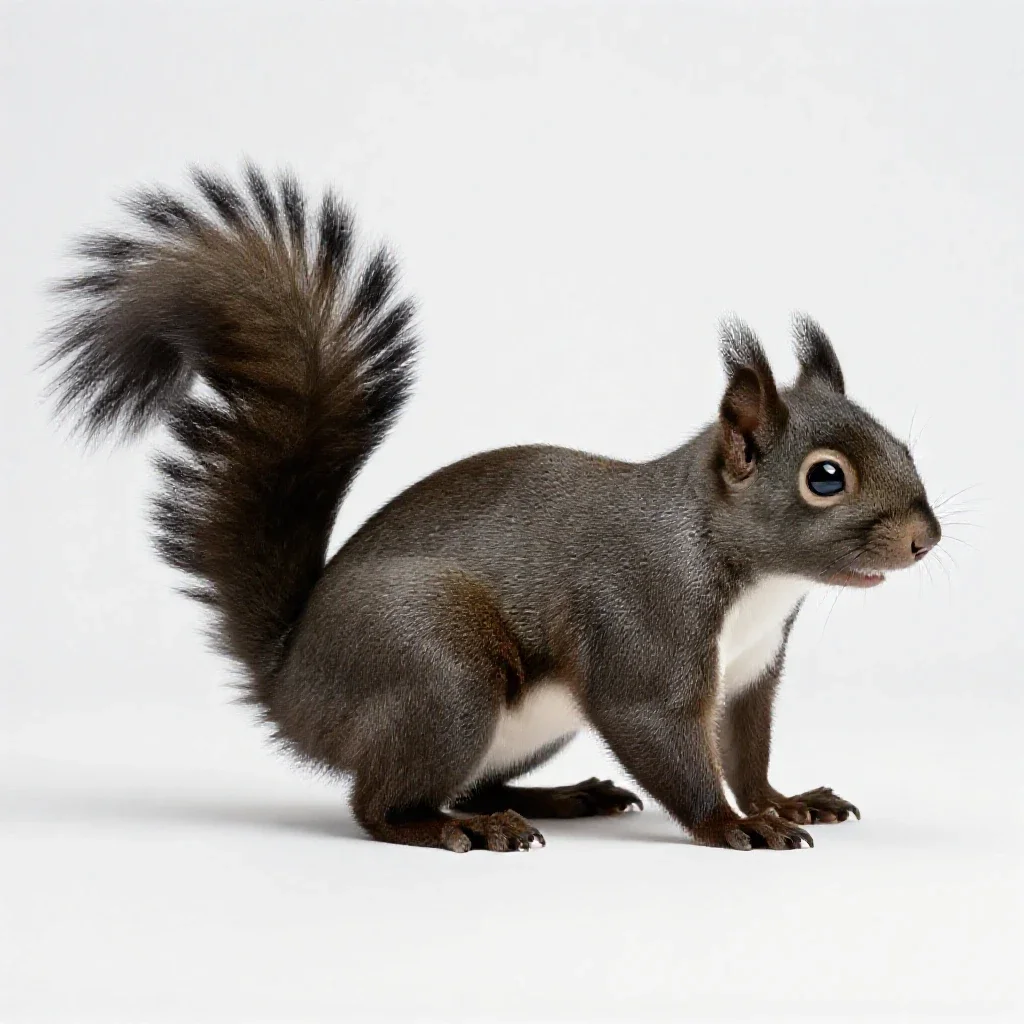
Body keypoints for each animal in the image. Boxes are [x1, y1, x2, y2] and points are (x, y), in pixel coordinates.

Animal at [43, 166, 942, 853]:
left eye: (903, 444)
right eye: (825, 478)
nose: (925, 539)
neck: (751, 573)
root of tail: (290, 685)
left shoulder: (751, 672)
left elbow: (746, 749)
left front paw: (781, 801)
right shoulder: (646, 624)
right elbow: (664, 736)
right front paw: (730, 825)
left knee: (465, 785)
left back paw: (556, 798)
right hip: (441, 673)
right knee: (378, 805)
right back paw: (459, 829)